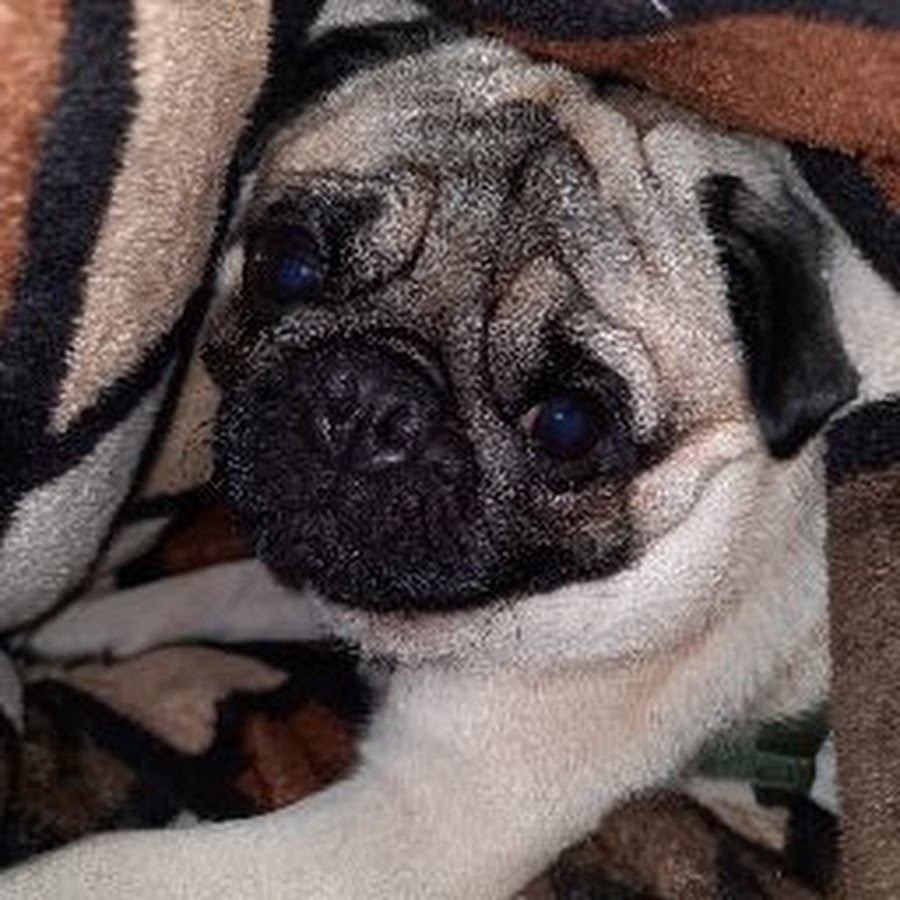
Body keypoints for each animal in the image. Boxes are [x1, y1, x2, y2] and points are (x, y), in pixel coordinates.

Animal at [5, 1, 900, 896]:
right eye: (287, 263)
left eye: (568, 423)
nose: (371, 401)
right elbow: (221, 587)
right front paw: (85, 624)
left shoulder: (416, 824)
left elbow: (106, 862)